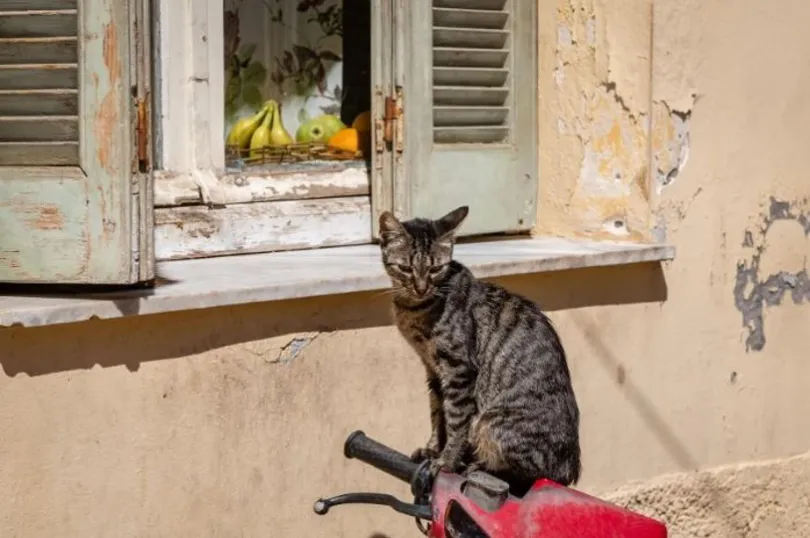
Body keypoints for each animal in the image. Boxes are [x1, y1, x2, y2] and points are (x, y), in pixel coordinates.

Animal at [378, 205, 580, 490]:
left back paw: (479, 465)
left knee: (533, 475)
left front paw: (447, 461)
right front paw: (433, 449)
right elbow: (437, 413)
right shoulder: (432, 369)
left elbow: (455, 420)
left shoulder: (458, 369)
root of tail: (571, 467)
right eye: (406, 268)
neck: (414, 309)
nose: (421, 288)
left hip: (490, 423)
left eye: (435, 268)